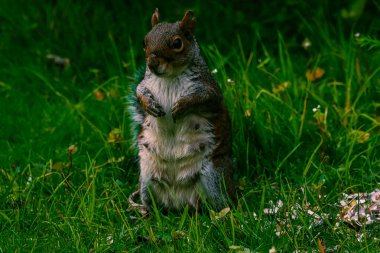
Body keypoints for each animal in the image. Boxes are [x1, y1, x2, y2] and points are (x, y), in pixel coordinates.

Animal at [129, 8, 233, 211]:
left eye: (177, 43)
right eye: (144, 41)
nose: (152, 64)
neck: (169, 77)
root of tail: (179, 202)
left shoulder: (210, 90)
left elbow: (204, 98)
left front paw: (182, 105)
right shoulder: (146, 84)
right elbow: (139, 91)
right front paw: (149, 105)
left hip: (213, 179)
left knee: (220, 203)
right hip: (146, 180)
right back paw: (145, 212)